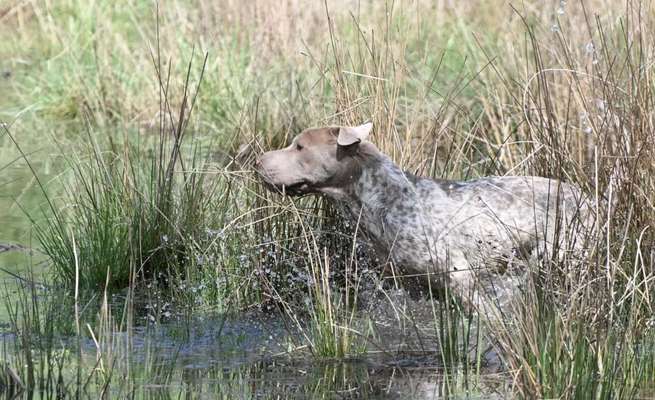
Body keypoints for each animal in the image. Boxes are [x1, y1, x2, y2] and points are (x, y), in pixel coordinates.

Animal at [256, 122, 596, 310]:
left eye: (299, 147)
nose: (258, 161)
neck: (384, 198)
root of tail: (589, 198)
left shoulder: (458, 274)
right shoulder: (413, 283)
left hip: (558, 252)